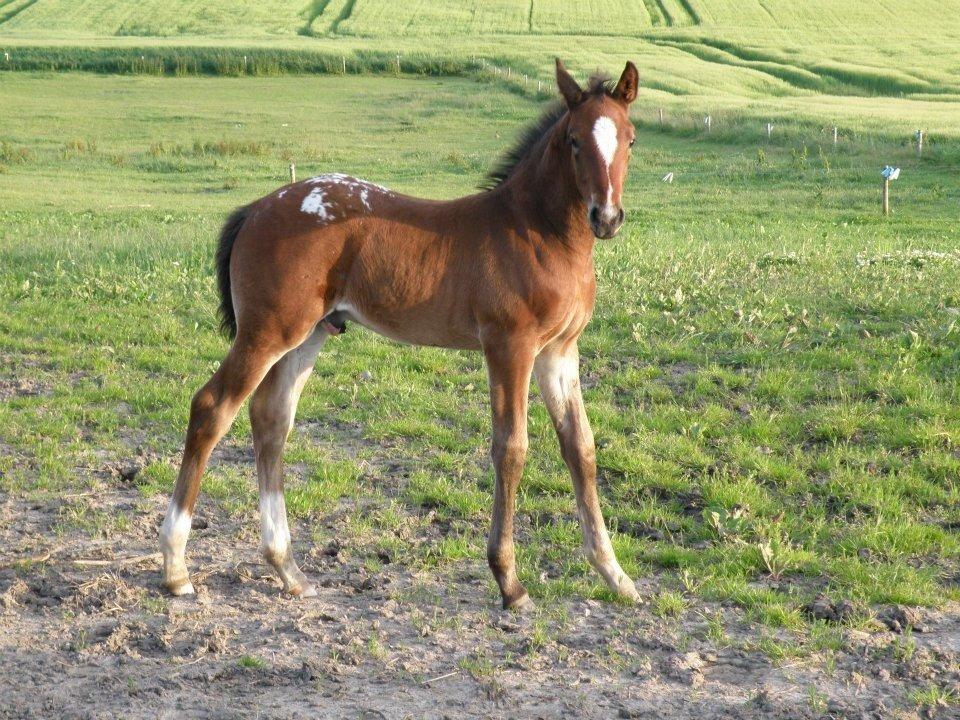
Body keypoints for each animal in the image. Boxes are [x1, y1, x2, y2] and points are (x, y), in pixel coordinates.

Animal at [161, 59, 640, 608]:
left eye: (630, 139)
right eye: (574, 140)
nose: (606, 217)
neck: (538, 232)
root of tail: (257, 208)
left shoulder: (560, 352)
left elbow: (581, 449)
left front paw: (615, 575)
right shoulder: (509, 345)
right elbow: (511, 448)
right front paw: (509, 582)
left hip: (309, 335)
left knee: (271, 420)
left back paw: (287, 568)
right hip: (267, 331)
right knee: (212, 408)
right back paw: (175, 568)